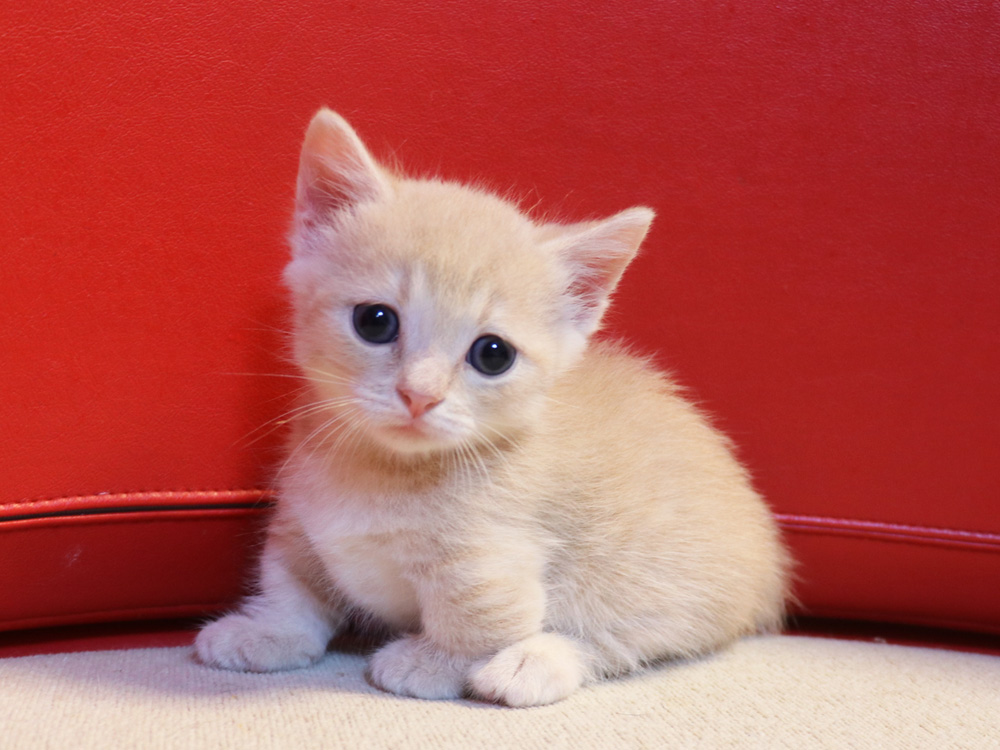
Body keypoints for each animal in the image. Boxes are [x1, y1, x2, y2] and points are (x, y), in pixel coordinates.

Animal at [195, 108, 788, 708]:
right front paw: (269, 631)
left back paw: (532, 665)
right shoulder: (299, 518)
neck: (380, 472)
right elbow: (291, 584)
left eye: (493, 354)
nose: (419, 394)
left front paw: (431, 663)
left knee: (624, 635)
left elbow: (475, 619)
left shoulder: (492, 558)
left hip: (661, 577)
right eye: (375, 321)